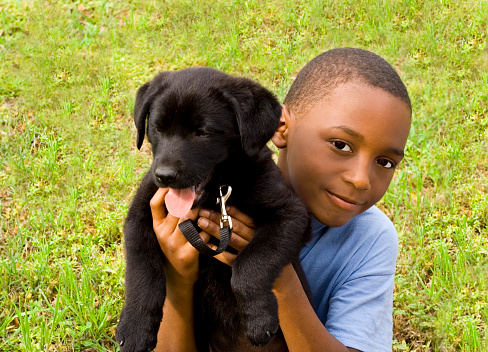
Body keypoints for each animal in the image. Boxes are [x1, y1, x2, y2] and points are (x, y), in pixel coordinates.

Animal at [116, 67, 310, 350]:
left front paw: (258, 318)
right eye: (158, 128)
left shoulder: (291, 212)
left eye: (202, 131)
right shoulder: (140, 214)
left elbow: (251, 262)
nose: (164, 175)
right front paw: (135, 328)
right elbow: (142, 271)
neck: (218, 193)